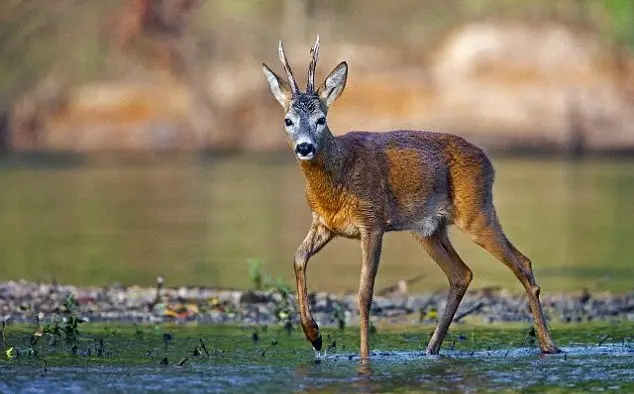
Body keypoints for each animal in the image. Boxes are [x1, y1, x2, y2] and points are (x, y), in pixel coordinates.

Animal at [262, 36, 556, 360]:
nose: (304, 147)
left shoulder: (373, 222)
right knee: (461, 274)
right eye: (288, 120)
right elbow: (298, 258)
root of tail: (487, 160)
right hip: (429, 229)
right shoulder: (324, 224)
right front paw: (314, 336)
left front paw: (364, 358)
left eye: (321, 119)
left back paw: (549, 345)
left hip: (477, 211)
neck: (336, 181)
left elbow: (364, 294)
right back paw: (430, 349)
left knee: (522, 263)